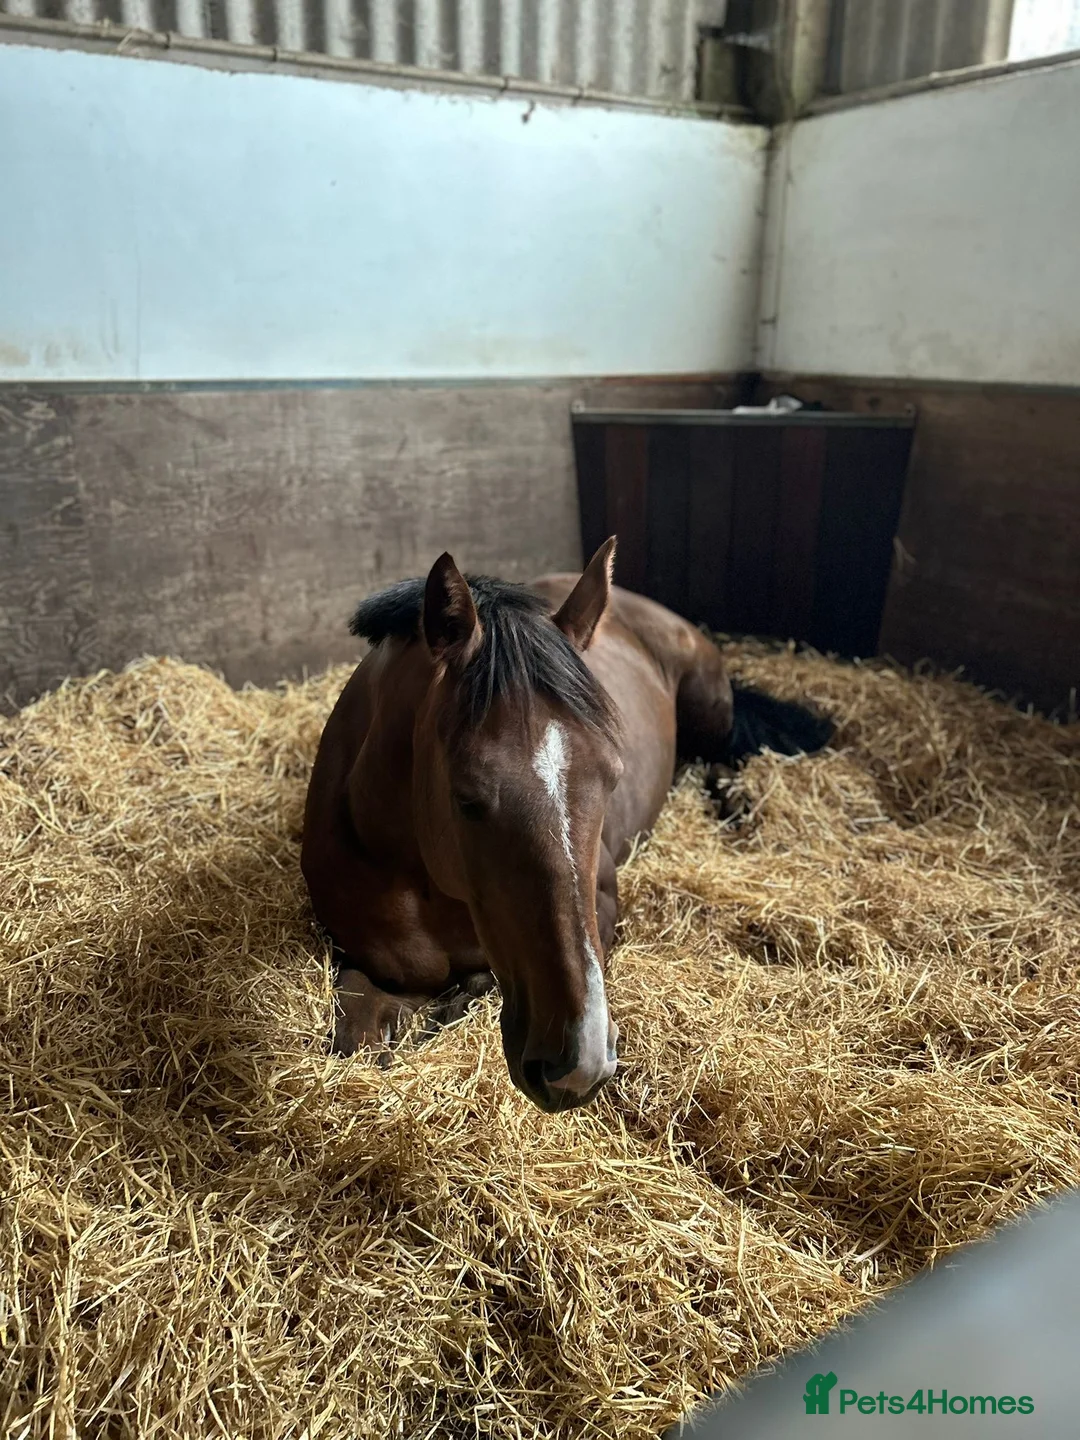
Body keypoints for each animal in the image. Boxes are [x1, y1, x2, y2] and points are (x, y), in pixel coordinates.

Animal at [301, 538, 831, 1113]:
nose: (580, 1064)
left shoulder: (600, 908)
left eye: (613, 776)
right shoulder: (355, 956)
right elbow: (355, 1030)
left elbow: (470, 990)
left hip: (709, 709)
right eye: (466, 798)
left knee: (722, 756)